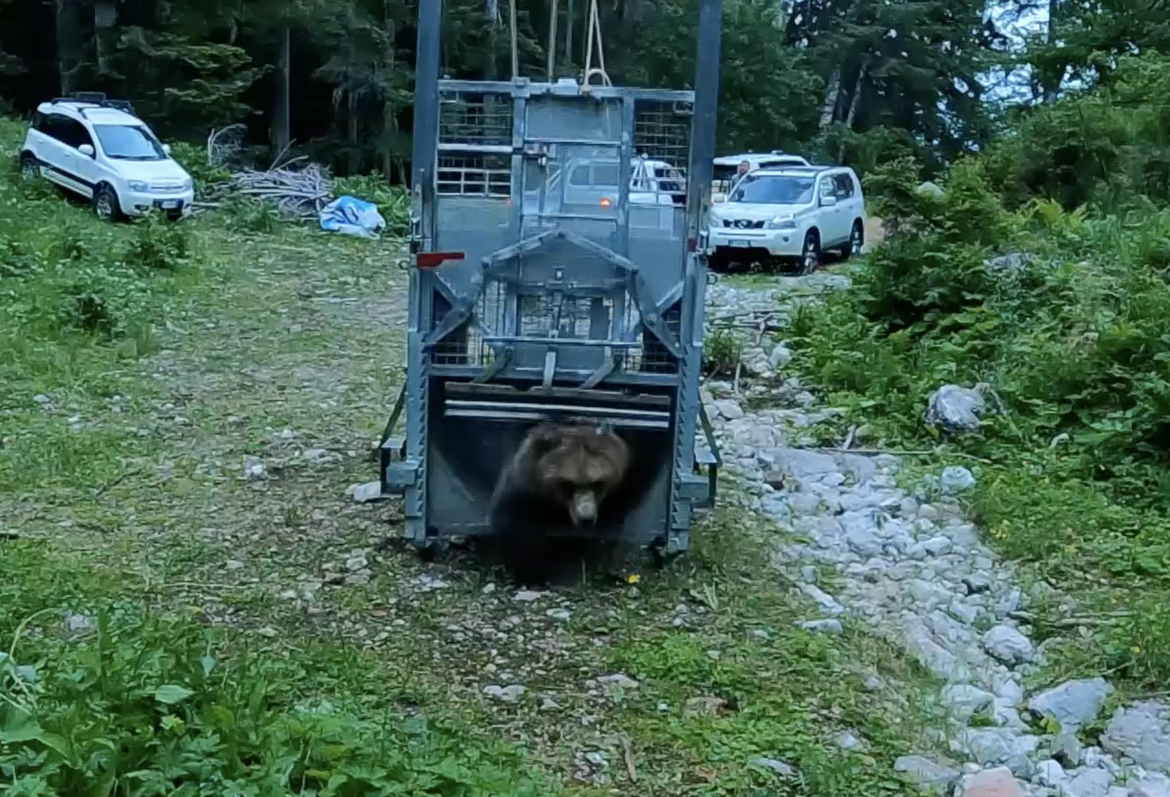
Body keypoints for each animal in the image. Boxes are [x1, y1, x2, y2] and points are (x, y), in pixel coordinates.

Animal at [487, 421, 632, 585]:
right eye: (568, 484)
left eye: (597, 483)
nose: (586, 519)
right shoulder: (524, 489)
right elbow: (518, 529)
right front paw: (530, 572)